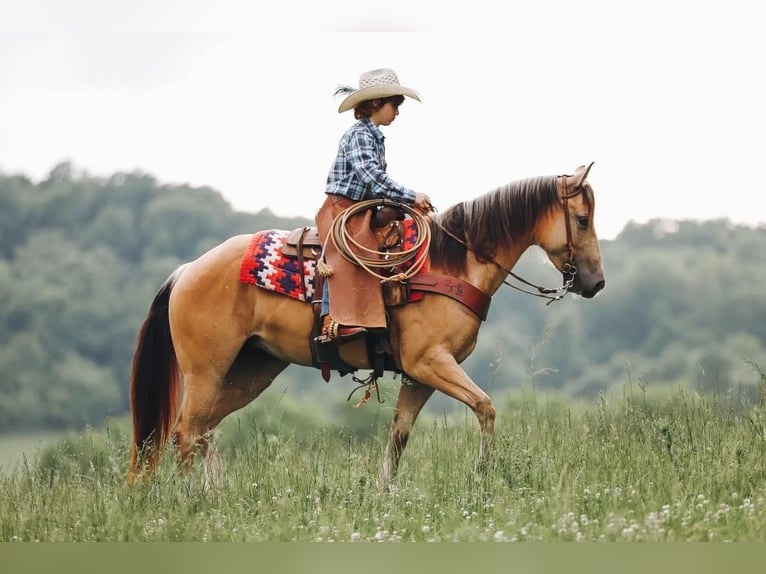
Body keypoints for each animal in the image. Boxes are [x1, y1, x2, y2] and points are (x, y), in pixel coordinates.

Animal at [130, 163, 608, 486]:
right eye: (582, 219)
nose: (596, 283)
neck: (451, 264)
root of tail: (186, 270)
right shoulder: (429, 362)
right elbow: (485, 407)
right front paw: (485, 474)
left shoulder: (420, 376)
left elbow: (399, 435)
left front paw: (384, 492)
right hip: (206, 369)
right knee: (185, 433)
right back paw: (195, 497)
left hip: (252, 370)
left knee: (204, 430)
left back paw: (218, 492)